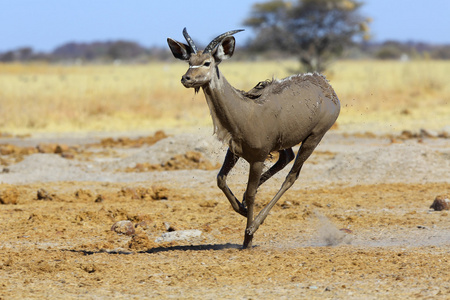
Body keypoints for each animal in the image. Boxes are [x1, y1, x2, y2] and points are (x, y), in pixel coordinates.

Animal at [167, 28, 340, 248]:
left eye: (207, 62)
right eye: (189, 61)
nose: (186, 78)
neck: (246, 111)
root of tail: (326, 85)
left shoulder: (257, 159)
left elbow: (251, 194)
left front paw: (247, 237)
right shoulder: (234, 151)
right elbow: (220, 179)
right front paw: (241, 209)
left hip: (313, 138)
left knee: (291, 176)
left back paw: (253, 226)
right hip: (283, 144)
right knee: (286, 158)